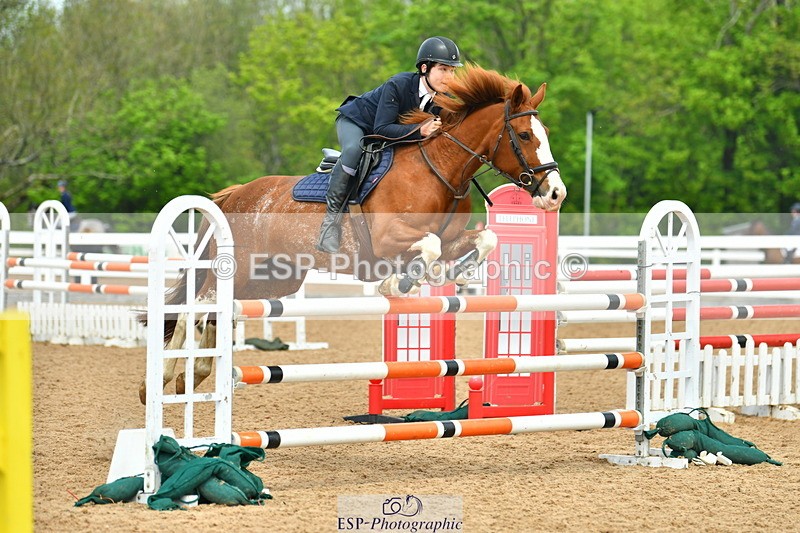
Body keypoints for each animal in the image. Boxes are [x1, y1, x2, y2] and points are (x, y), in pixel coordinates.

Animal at [138, 64, 567, 403]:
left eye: (546, 131)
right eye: (525, 135)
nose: (556, 194)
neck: (440, 169)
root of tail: (236, 195)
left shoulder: (450, 239)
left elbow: (482, 240)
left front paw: (450, 274)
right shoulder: (387, 240)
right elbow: (425, 247)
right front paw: (403, 281)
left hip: (272, 280)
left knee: (216, 313)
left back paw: (192, 377)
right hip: (239, 269)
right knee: (196, 305)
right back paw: (160, 382)